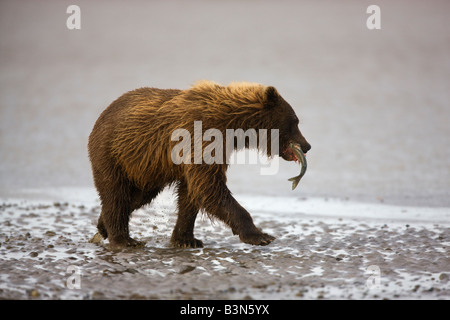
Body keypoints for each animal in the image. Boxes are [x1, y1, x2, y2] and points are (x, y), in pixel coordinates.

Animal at [89, 80, 312, 250]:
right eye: (295, 121)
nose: (307, 146)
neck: (233, 127)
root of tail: (101, 116)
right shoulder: (202, 136)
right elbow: (209, 186)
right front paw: (260, 235)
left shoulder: (209, 150)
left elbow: (192, 193)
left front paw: (186, 239)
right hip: (113, 153)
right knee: (116, 193)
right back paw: (124, 240)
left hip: (146, 169)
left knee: (136, 196)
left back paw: (102, 226)